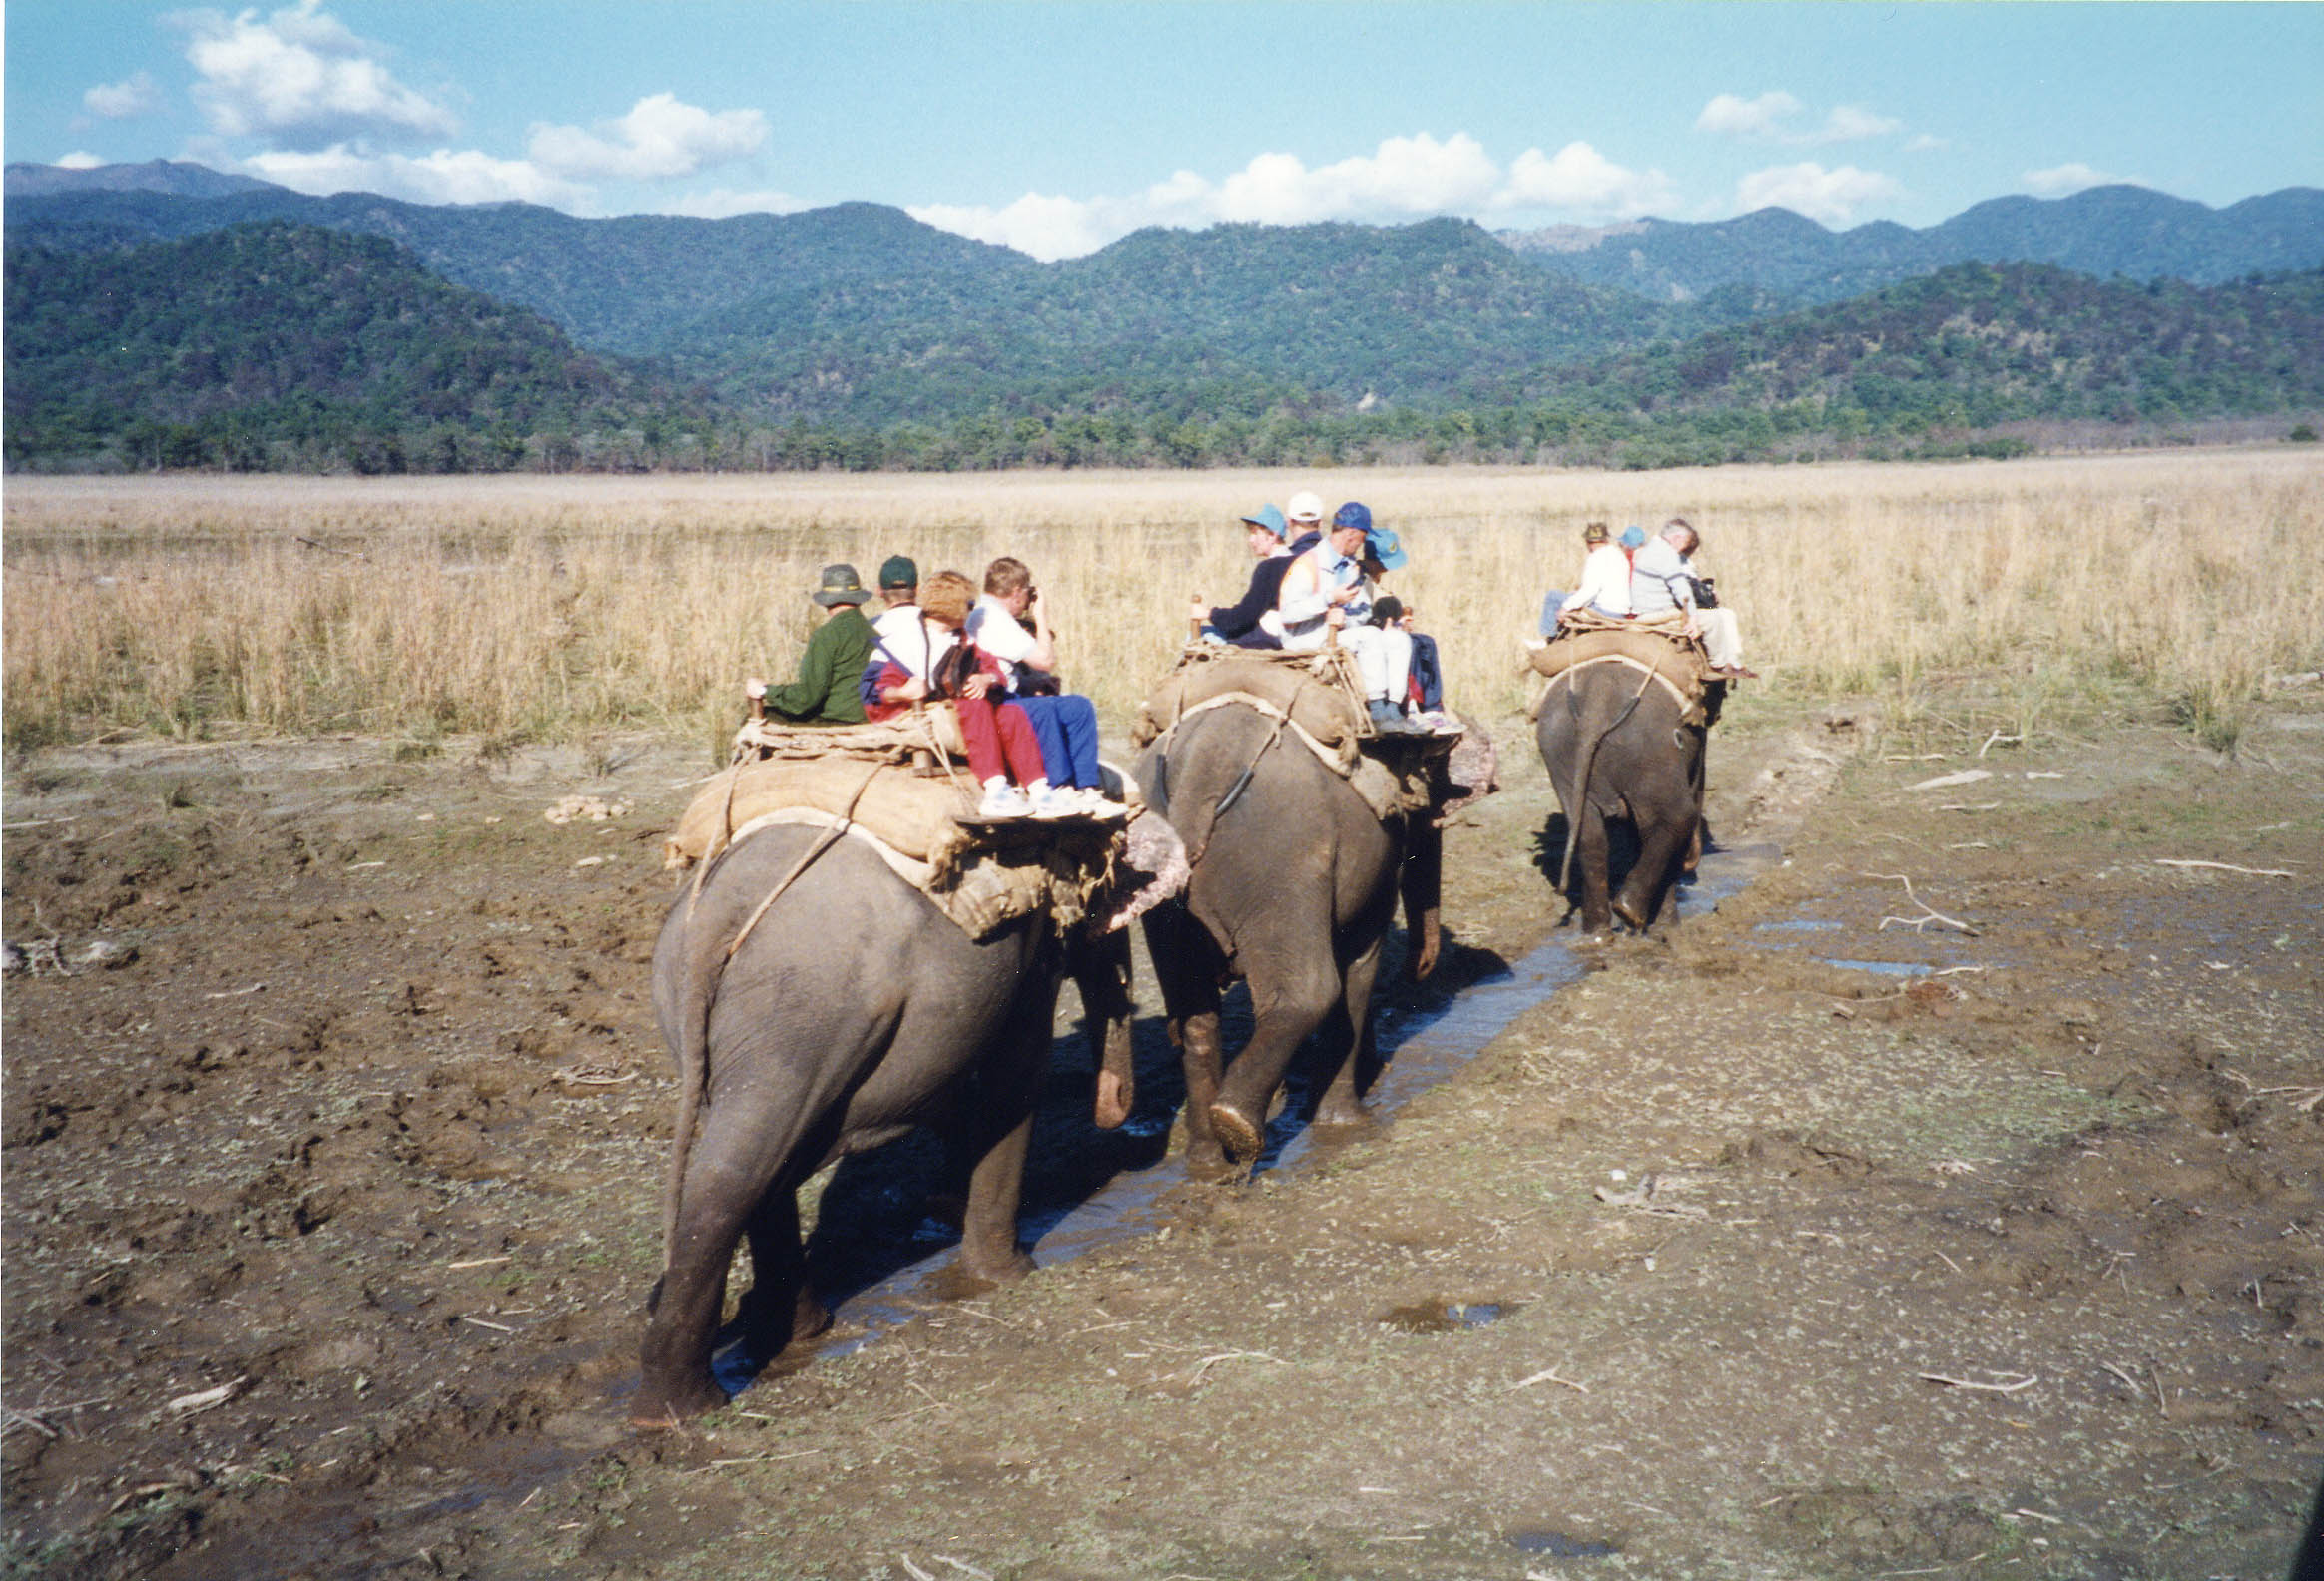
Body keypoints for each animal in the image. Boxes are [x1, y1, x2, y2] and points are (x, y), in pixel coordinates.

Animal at [636, 822, 1162, 1422]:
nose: (1115, 1108)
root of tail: (717, 917)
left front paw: (950, 1208)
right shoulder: (1032, 942)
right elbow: (1017, 1066)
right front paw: (1008, 1275)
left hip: (731, 1022)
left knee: (761, 1156)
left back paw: (785, 1337)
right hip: (803, 1020)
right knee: (741, 1170)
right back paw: (685, 1407)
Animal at [1134, 702, 1477, 1172]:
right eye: (1433, 786)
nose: (1421, 967)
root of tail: (1195, 781)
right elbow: (1358, 964)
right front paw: (1346, 1125)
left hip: (1161, 887)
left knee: (1194, 1013)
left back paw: (1209, 1160)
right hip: (1283, 867)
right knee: (1310, 992)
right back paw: (1238, 1128)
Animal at [1533, 646, 1719, 934]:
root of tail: (1597, 699)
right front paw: (1667, 926)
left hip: (1558, 750)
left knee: (1590, 835)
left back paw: (1597, 929)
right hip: (1651, 753)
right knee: (1678, 817)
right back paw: (1630, 912)